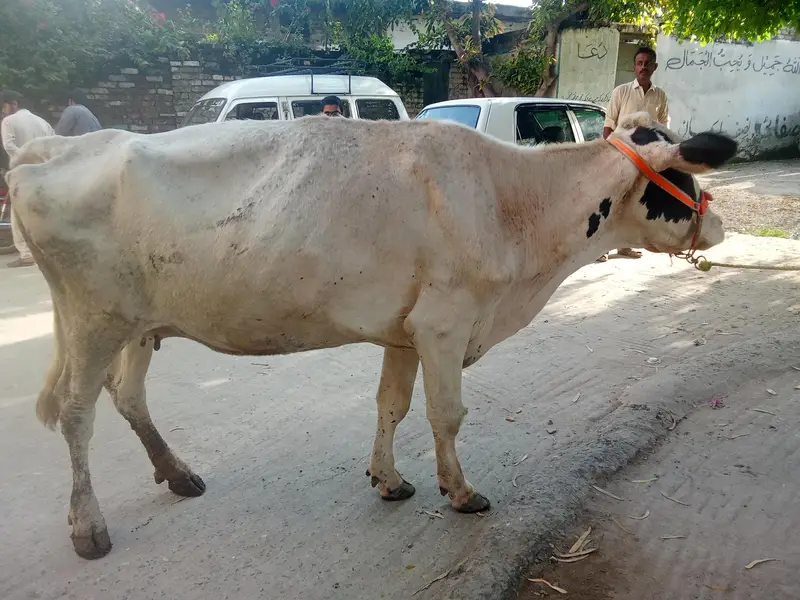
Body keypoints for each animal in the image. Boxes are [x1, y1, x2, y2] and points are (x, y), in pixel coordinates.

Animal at [6, 111, 737, 559]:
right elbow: (447, 413)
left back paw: (177, 473)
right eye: (682, 176)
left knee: (127, 396)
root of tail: (49, 149)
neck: (512, 203)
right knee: (76, 412)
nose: (720, 224)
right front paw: (461, 493)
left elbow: (393, 405)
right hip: (93, 318)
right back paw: (89, 527)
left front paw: (388, 480)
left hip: (137, 322)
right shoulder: (444, 323)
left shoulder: (405, 331)